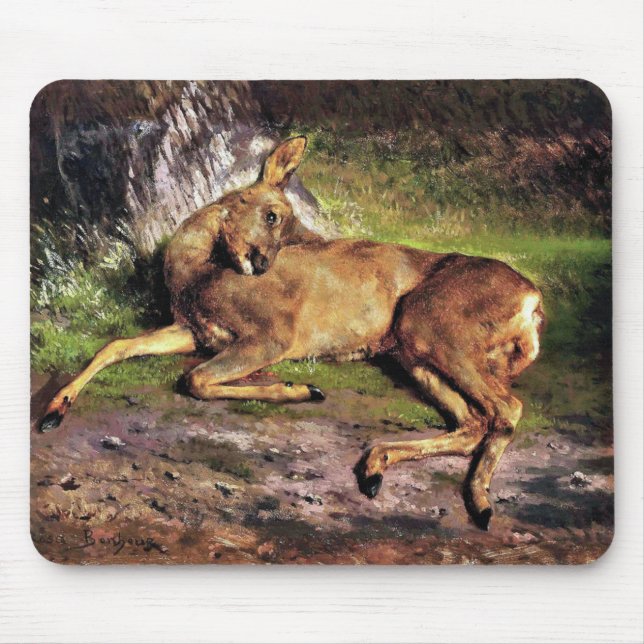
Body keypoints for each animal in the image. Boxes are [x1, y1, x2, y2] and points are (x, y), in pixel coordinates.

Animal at [38, 136, 544, 530]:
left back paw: (479, 503)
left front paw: (298, 388)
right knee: (471, 420)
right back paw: (375, 467)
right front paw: (53, 410)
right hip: (413, 351)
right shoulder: (194, 330)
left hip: (436, 325)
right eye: (272, 216)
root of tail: (533, 302)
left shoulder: (273, 335)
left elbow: (195, 379)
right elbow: (118, 345)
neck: (197, 275)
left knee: (507, 407)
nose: (261, 264)